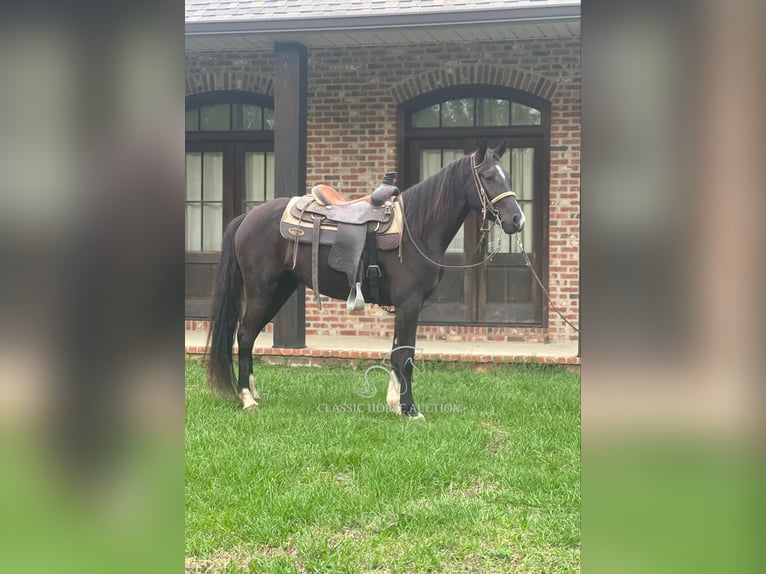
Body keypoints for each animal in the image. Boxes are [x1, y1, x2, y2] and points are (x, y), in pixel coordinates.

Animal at [207, 138, 524, 420]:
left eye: (507, 176)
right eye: (488, 176)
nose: (517, 220)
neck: (415, 230)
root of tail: (247, 218)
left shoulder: (408, 306)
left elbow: (397, 352)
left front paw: (395, 404)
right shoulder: (409, 303)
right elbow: (405, 356)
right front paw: (410, 410)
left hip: (279, 290)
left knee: (250, 337)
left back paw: (252, 392)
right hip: (261, 289)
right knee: (244, 335)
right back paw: (246, 398)